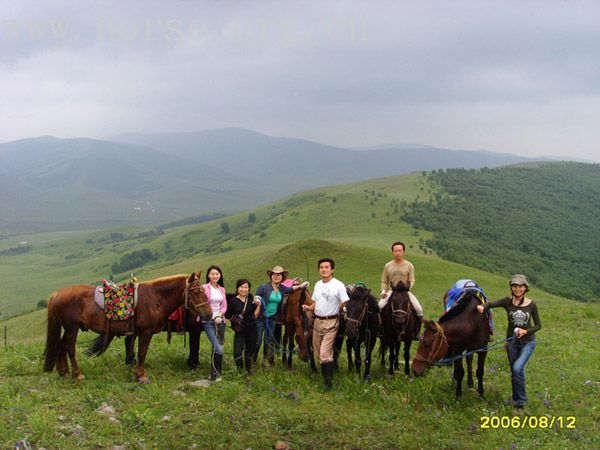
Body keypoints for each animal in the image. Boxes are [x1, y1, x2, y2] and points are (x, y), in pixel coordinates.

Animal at [42, 270, 211, 384]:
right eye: (196, 292)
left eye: (203, 290)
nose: (208, 314)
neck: (156, 298)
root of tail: (57, 294)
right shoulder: (145, 332)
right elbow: (142, 353)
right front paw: (141, 376)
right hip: (72, 327)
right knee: (70, 348)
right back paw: (77, 374)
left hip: (69, 328)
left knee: (62, 346)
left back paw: (64, 372)